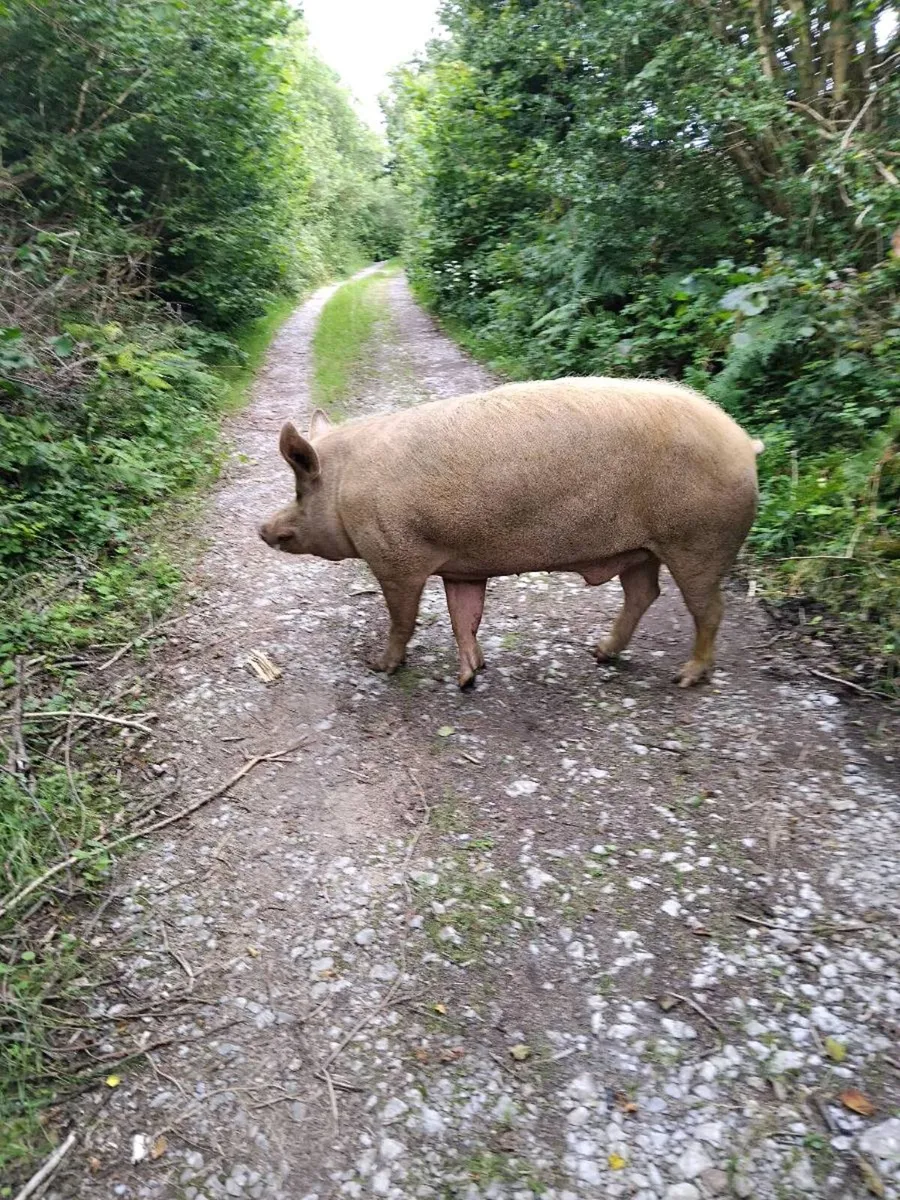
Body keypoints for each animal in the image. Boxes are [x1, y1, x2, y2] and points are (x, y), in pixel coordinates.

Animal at [258, 378, 763, 689]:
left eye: (300, 491)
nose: (262, 528)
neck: (347, 490)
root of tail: (745, 443)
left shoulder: (396, 560)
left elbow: (403, 619)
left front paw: (378, 666)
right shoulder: (460, 568)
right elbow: (464, 617)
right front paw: (470, 675)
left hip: (698, 543)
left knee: (708, 609)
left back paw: (684, 677)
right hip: (642, 549)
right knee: (644, 593)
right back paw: (599, 653)